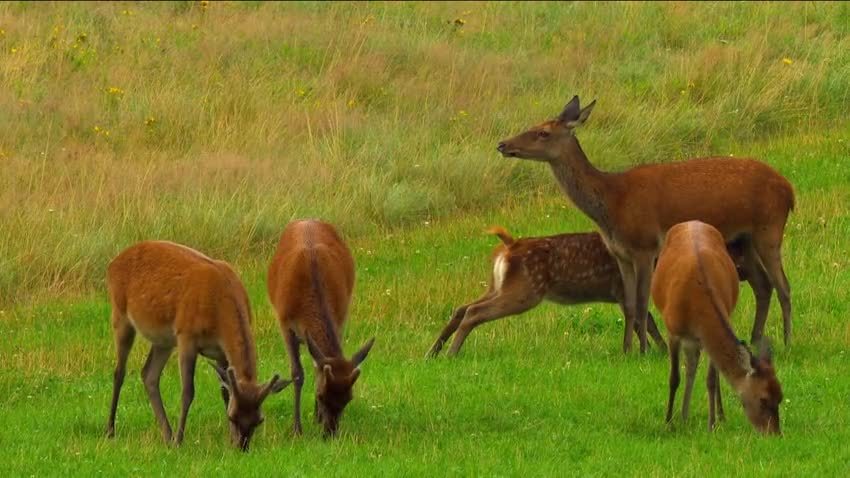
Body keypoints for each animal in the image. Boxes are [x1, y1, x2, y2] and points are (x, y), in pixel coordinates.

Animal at [104, 241, 290, 450]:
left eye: (259, 420)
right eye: (232, 417)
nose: (242, 447)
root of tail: (112, 264)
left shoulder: (221, 352)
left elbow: (225, 391)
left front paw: (226, 439)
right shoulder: (186, 336)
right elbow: (187, 392)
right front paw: (180, 440)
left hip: (163, 340)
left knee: (149, 374)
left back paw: (166, 435)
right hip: (120, 315)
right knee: (119, 372)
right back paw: (111, 430)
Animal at [268, 219, 374, 436]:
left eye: (348, 398)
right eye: (320, 395)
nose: (330, 433)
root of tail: (306, 219)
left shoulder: (340, 316)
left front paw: (316, 418)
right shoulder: (284, 323)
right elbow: (297, 373)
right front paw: (297, 429)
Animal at [428, 226, 664, 356]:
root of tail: (510, 246)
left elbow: (644, 321)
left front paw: (656, 350)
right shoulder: (622, 291)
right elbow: (645, 320)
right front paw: (657, 351)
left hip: (497, 285)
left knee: (461, 308)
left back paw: (433, 353)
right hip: (525, 290)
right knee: (474, 311)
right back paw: (451, 353)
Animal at [496, 94, 796, 354]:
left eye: (543, 133)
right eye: (534, 125)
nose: (502, 144)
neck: (611, 203)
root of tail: (789, 190)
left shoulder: (645, 246)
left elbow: (641, 304)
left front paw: (642, 351)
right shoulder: (621, 254)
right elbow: (629, 305)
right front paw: (626, 350)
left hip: (769, 227)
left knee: (783, 285)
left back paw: (786, 341)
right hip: (743, 239)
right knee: (763, 284)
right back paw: (756, 339)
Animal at [648, 222, 780, 436]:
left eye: (781, 395)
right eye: (763, 399)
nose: (775, 433)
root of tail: (692, 221)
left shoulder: (707, 336)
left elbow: (710, 379)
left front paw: (712, 424)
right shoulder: (673, 331)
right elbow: (674, 377)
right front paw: (668, 421)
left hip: (698, 339)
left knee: (697, 368)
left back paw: (708, 415)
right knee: (690, 367)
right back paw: (683, 416)